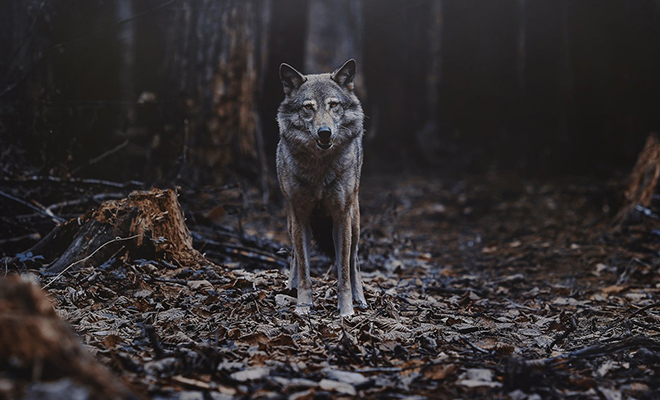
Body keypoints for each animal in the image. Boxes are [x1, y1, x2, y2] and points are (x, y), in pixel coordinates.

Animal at [274, 59, 366, 318]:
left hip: (354, 222)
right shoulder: (301, 217)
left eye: (333, 105)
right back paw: (291, 285)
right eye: (308, 108)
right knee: (294, 255)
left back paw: (360, 298)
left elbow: (343, 272)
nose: (325, 132)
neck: (319, 168)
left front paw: (346, 311)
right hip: (290, 221)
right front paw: (303, 305)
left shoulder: (341, 217)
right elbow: (305, 267)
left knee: (355, 260)